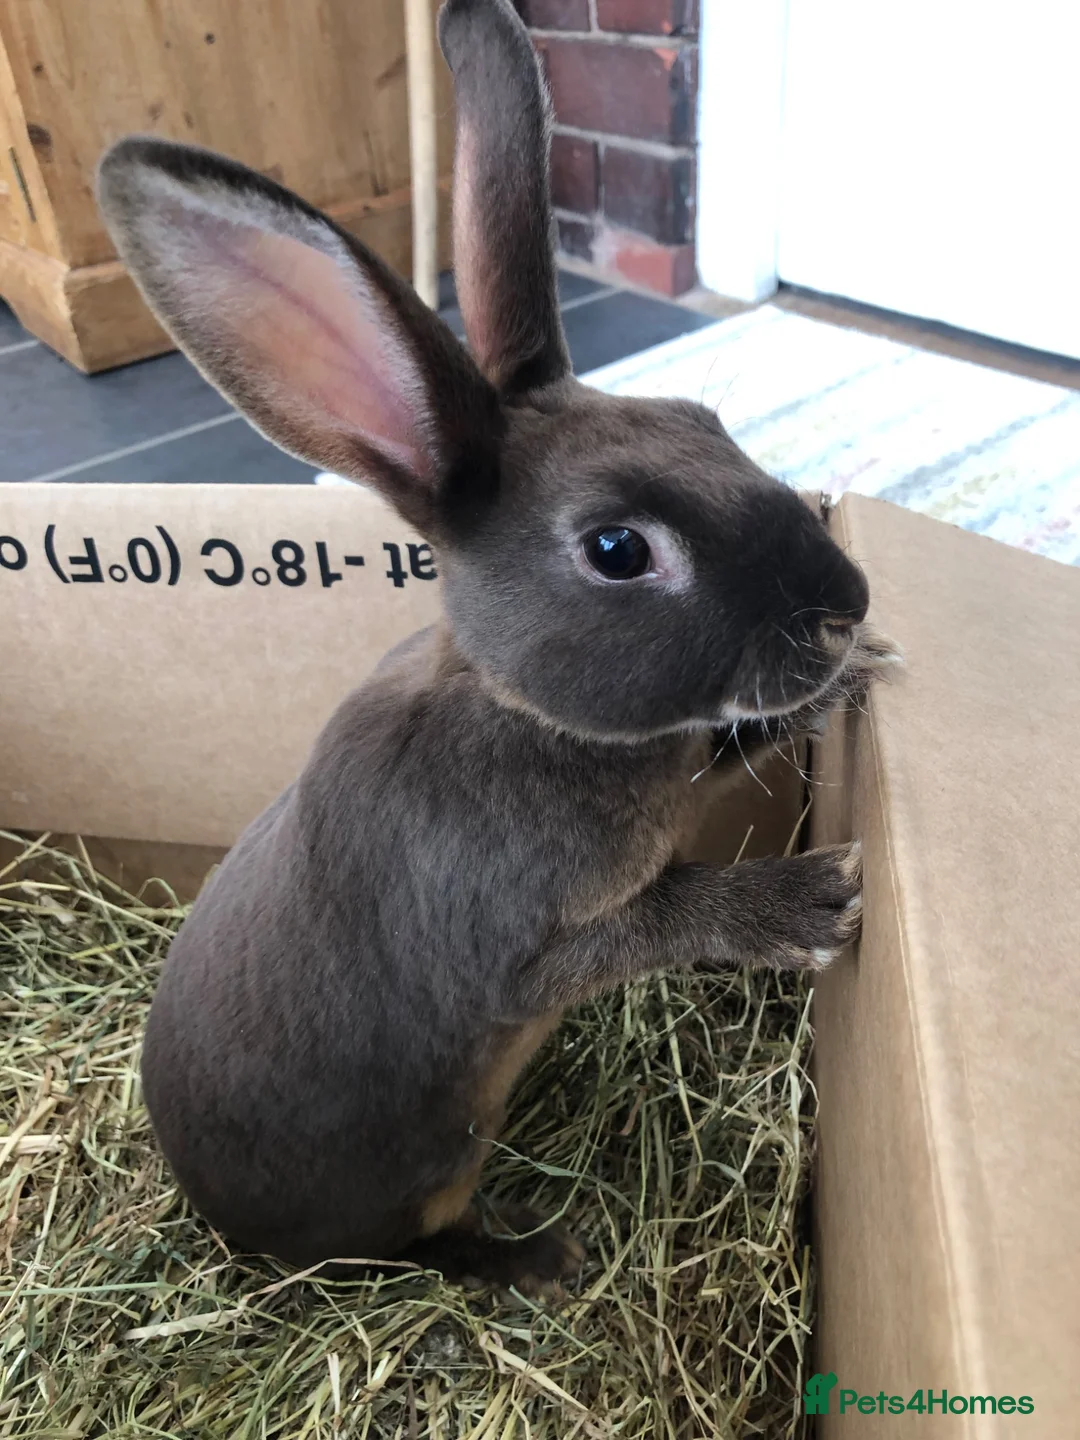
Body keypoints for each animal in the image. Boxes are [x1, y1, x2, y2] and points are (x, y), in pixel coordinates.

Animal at [96, 0, 896, 1290]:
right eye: (619, 550)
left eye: (703, 420)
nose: (846, 600)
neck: (524, 708)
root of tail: (220, 1222)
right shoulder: (526, 950)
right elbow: (663, 918)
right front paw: (810, 902)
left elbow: (731, 744)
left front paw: (854, 677)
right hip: (425, 1171)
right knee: (420, 1253)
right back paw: (542, 1255)